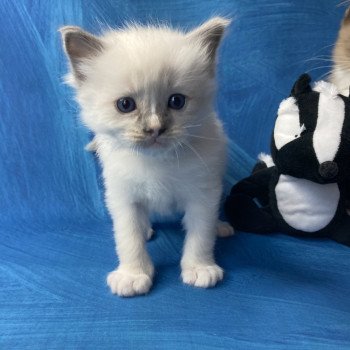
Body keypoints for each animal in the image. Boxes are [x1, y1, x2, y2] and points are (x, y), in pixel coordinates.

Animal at [60, 18, 232, 298]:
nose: (154, 129)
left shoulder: (203, 194)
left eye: (176, 101)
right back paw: (146, 229)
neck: (156, 162)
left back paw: (220, 227)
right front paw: (133, 275)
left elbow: (200, 235)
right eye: (125, 105)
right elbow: (128, 238)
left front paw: (200, 268)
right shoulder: (123, 198)